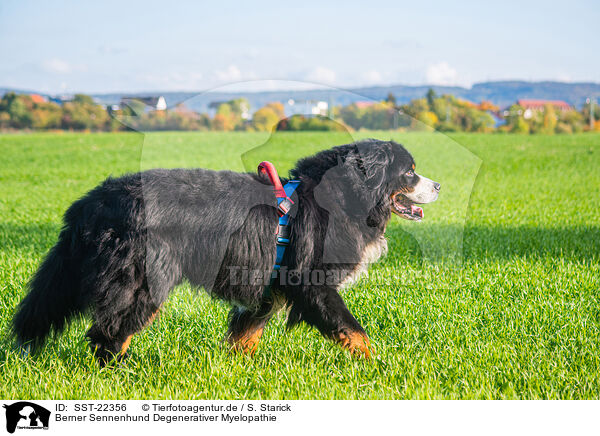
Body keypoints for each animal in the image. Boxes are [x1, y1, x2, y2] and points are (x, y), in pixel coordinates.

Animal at [11, 138, 438, 362]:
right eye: (409, 171)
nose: (438, 186)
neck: (343, 196)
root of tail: (92, 202)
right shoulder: (312, 282)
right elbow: (354, 331)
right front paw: (381, 364)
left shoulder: (268, 283)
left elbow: (245, 333)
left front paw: (235, 367)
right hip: (142, 281)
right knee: (109, 333)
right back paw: (120, 372)